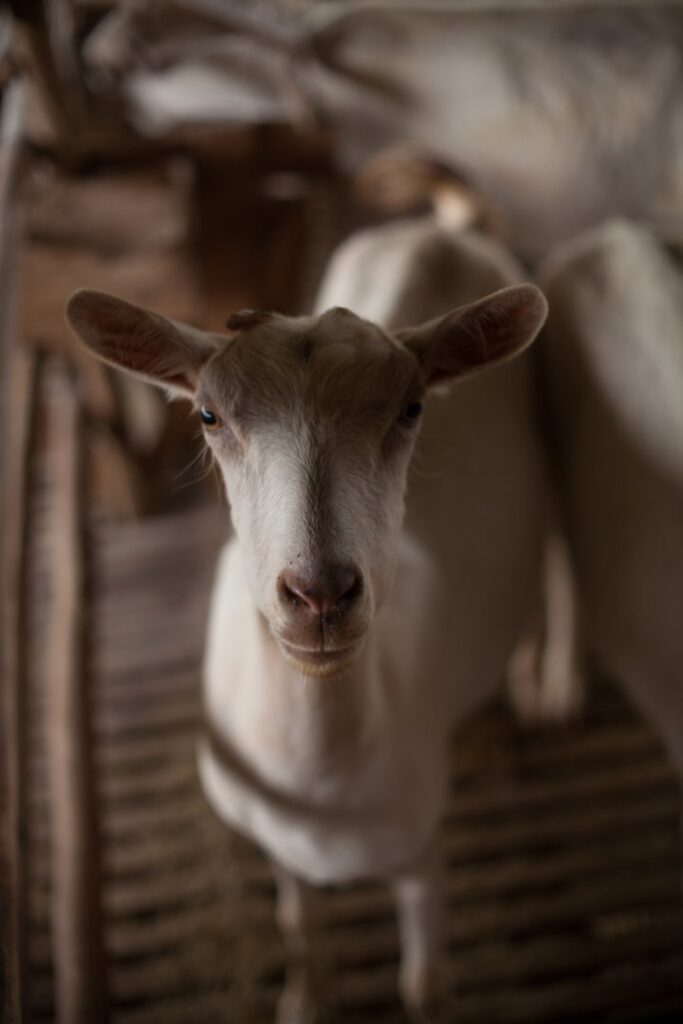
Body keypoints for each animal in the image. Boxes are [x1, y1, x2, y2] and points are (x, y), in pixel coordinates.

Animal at [68, 205, 548, 1015]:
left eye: (412, 408)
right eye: (208, 415)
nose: (319, 594)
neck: (317, 777)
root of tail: (433, 225)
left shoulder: (419, 853)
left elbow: (424, 985)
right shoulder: (278, 846)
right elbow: (298, 928)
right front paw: (303, 1001)